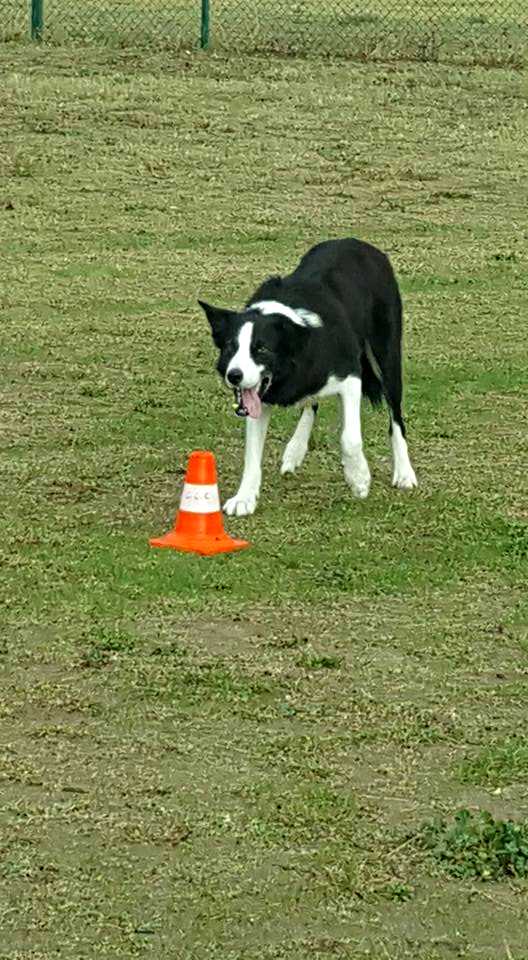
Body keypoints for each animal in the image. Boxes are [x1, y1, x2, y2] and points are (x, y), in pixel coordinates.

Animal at [199, 237, 417, 516]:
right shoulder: (260, 399)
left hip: (387, 355)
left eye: (262, 349)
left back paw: (404, 473)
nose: (234, 375)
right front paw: (244, 497)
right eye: (229, 347)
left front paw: (359, 478)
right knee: (311, 403)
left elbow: (350, 438)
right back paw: (295, 449)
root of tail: (361, 243)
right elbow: (252, 454)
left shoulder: (350, 376)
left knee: (395, 416)